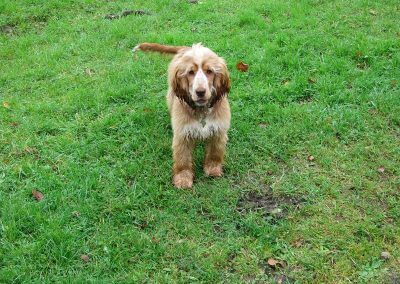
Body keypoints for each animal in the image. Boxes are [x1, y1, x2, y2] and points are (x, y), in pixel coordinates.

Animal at [133, 42, 230, 189]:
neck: (201, 111)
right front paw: (183, 179)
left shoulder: (218, 130)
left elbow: (215, 153)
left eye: (209, 71)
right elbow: (183, 159)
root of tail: (186, 48)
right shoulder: (182, 134)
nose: (200, 92)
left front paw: (213, 170)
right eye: (190, 72)